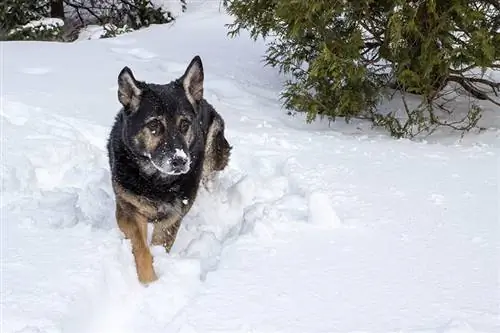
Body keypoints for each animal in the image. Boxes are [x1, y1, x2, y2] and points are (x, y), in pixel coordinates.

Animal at [106, 55, 231, 282]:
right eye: (154, 125)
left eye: (185, 124)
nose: (180, 161)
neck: (156, 182)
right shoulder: (128, 210)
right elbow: (142, 247)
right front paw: (149, 281)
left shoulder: (173, 216)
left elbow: (159, 244)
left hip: (215, 145)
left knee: (209, 174)